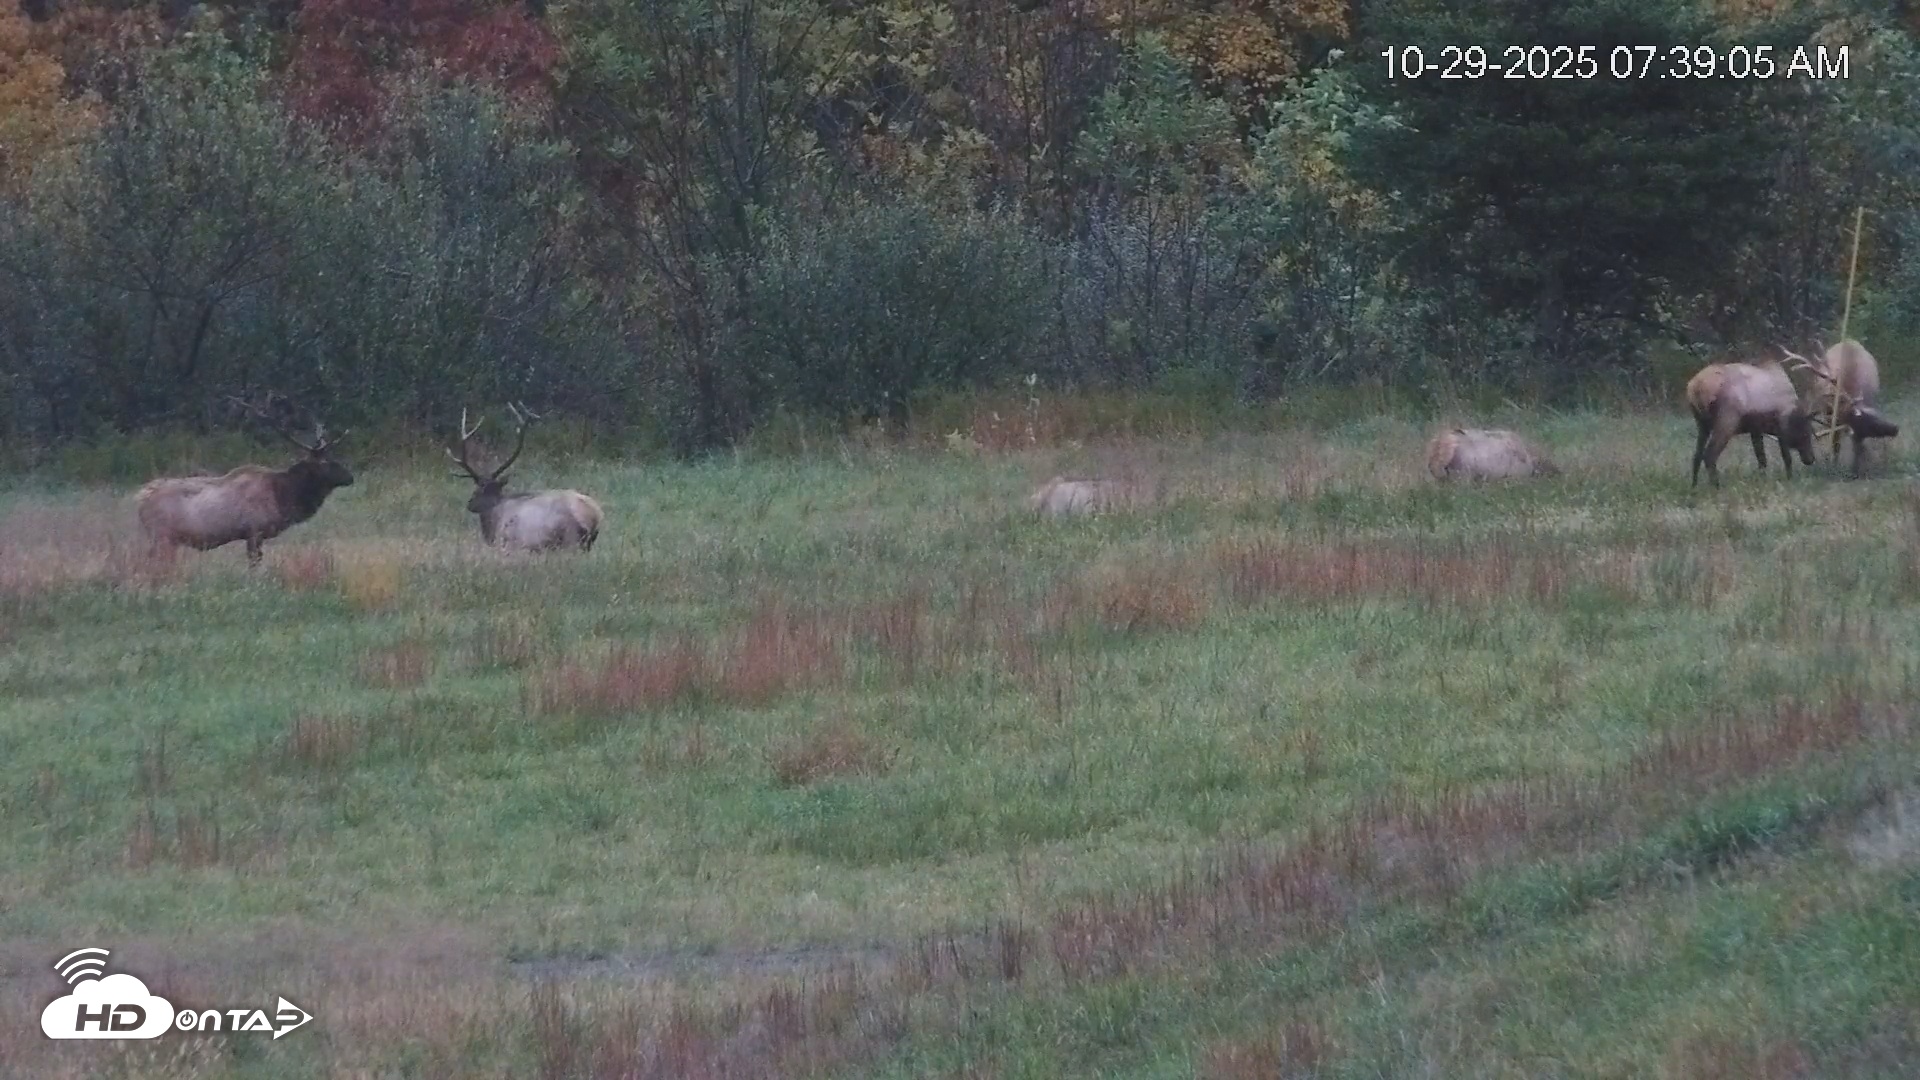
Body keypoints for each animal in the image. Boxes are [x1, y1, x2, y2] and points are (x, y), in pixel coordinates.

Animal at [135, 395, 354, 567]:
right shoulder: (254, 530)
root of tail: (140, 498)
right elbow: (254, 563)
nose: (350, 477)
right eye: (327, 463)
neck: (283, 495)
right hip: (162, 535)